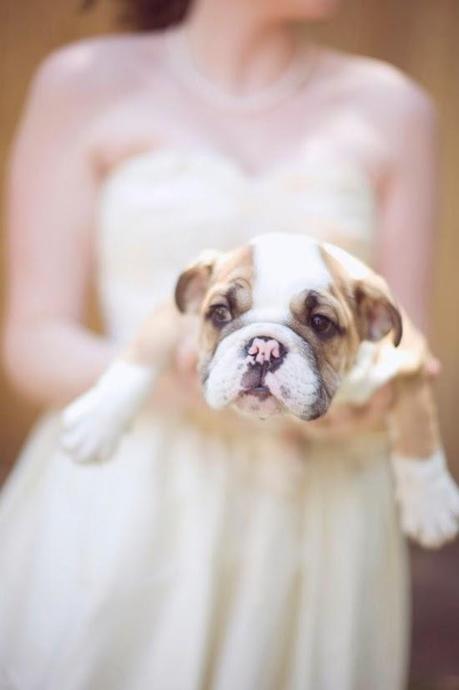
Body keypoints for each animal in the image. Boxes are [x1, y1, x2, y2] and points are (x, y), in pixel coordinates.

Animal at [63, 234, 459, 544]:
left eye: (321, 322)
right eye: (220, 313)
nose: (264, 347)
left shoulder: (410, 360)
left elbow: (418, 428)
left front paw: (431, 504)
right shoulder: (171, 317)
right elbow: (141, 356)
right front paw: (96, 421)